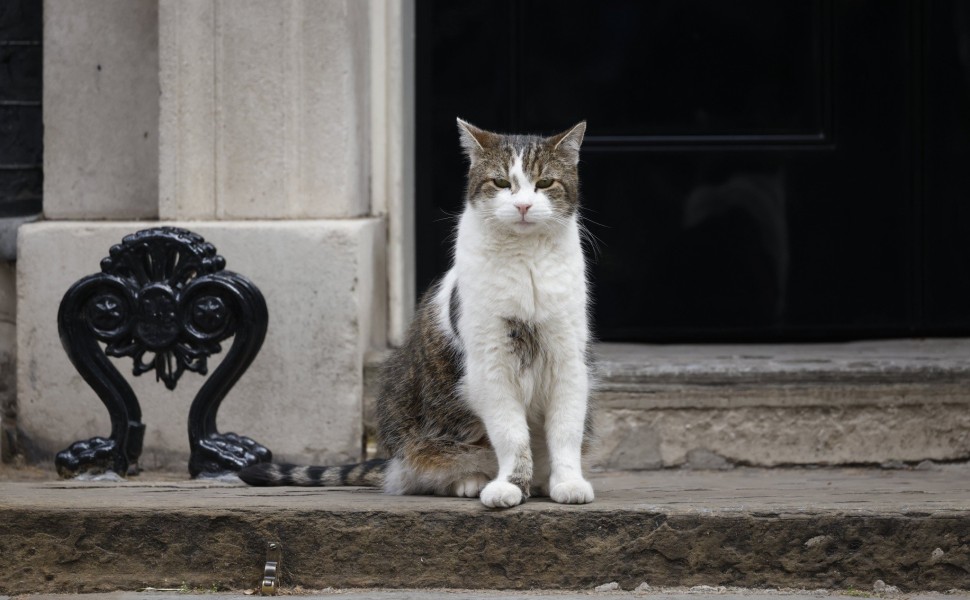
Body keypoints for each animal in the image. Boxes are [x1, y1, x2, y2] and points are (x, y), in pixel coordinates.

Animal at [238, 118, 592, 506]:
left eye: (544, 183)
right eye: (501, 183)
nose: (525, 206)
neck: (526, 261)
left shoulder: (568, 360)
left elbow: (566, 431)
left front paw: (567, 482)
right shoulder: (491, 363)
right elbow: (511, 434)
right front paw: (510, 485)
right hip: (403, 408)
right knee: (421, 471)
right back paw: (471, 480)